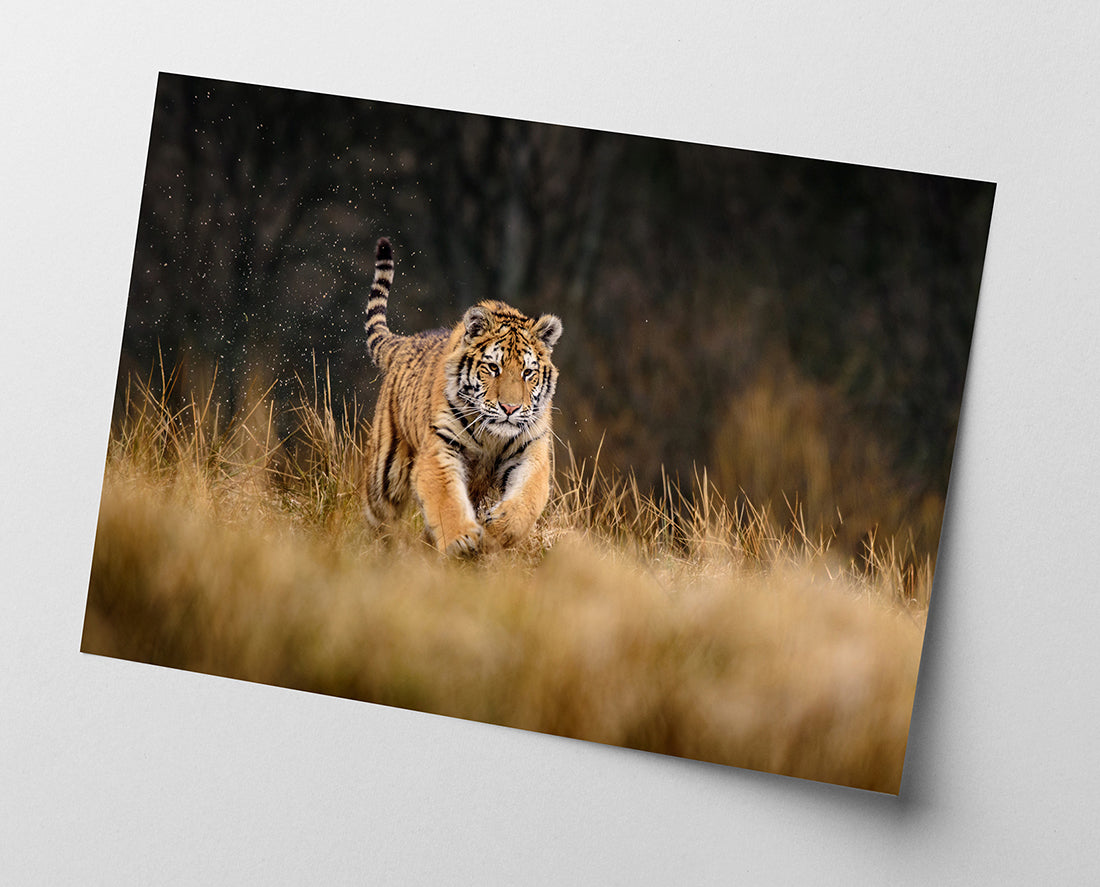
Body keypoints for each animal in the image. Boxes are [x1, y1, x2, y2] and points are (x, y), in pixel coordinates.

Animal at [363, 237, 563, 556]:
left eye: (527, 372)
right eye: (493, 368)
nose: (510, 408)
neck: (493, 437)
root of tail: (406, 342)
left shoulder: (531, 451)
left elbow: (527, 499)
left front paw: (499, 528)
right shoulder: (440, 447)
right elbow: (445, 497)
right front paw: (461, 540)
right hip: (385, 474)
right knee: (377, 517)